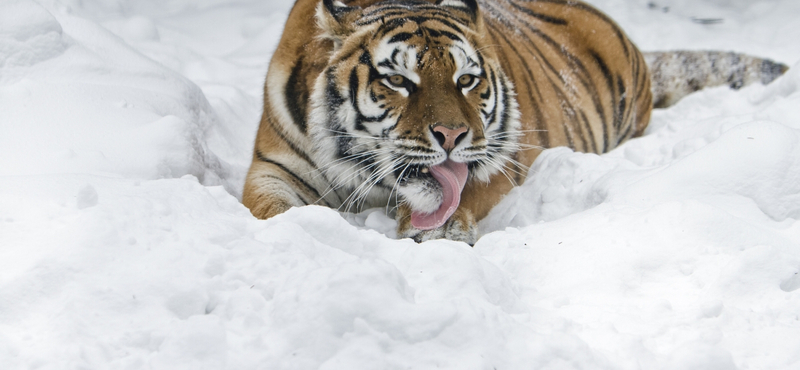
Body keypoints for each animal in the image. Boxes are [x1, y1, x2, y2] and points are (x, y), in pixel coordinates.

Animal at [242, 0, 788, 246]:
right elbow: (269, 210)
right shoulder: (275, 166)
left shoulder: (506, 158)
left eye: (465, 80)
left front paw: (440, 232)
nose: (452, 136)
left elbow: (468, 192)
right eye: (398, 80)